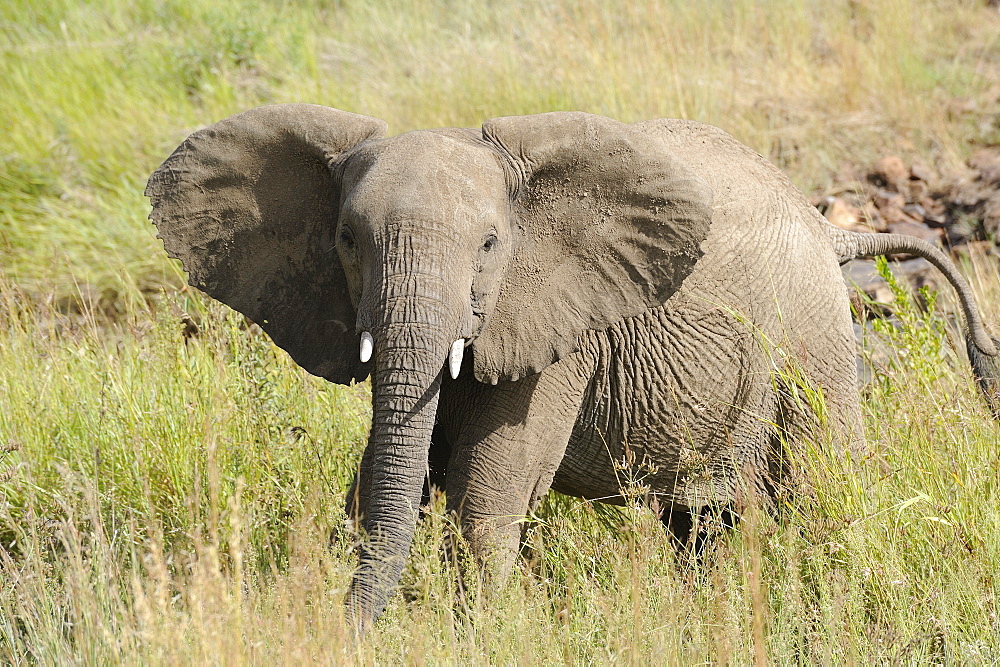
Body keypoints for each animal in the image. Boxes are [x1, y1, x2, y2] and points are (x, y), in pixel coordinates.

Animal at [145, 103, 996, 632]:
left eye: (491, 245)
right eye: (348, 241)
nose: (343, 629)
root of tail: (833, 229)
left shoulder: (562, 328)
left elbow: (491, 486)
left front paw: (478, 634)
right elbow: (386, 480)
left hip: (812, 340)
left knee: (824, 495)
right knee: (700, 524)